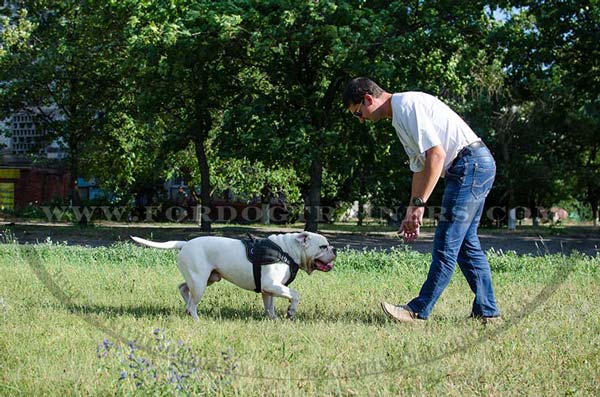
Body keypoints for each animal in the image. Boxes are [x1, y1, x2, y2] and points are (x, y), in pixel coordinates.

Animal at [131, 232, 336, 318]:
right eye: (322, 246)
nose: (334, 249)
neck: (287, 250)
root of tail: (185, 243)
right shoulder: (271, 285)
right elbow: (295, 294)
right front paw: (291, 311)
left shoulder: (268, 290)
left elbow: (269, 306)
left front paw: (273, 320)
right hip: (200, 283)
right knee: (192, 305)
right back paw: (197, 318)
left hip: (207, 278)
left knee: (182, 288)